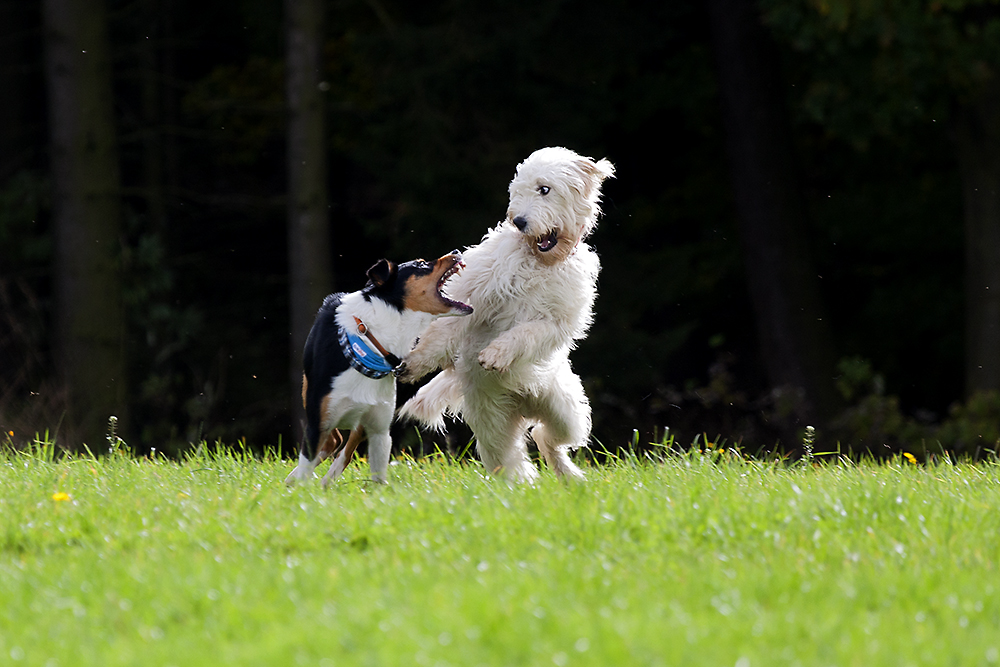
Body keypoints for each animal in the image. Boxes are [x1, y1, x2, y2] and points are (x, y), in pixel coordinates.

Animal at [282, 253, 468, 488]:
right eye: (421, 264)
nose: (456, 252)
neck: (370, 346)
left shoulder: (380, 430)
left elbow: (376, 478)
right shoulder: (317, 424)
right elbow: (307, 468)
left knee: (342, 446)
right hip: (310, 400)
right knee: (333, 441)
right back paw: (296, 478)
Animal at [396, 146, 612, 482]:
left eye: (544, 189)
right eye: (517, 191)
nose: (519, 221)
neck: (539, 262)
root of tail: (522, 404)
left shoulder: (556, 322)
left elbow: (525, 333)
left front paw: (496, 355)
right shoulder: (473, 295)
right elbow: (441, 334)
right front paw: (415, 364)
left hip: (566, 412)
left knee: (546, 438)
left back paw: (569, 477)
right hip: (493, 426)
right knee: (512, 462)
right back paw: (525, 487)